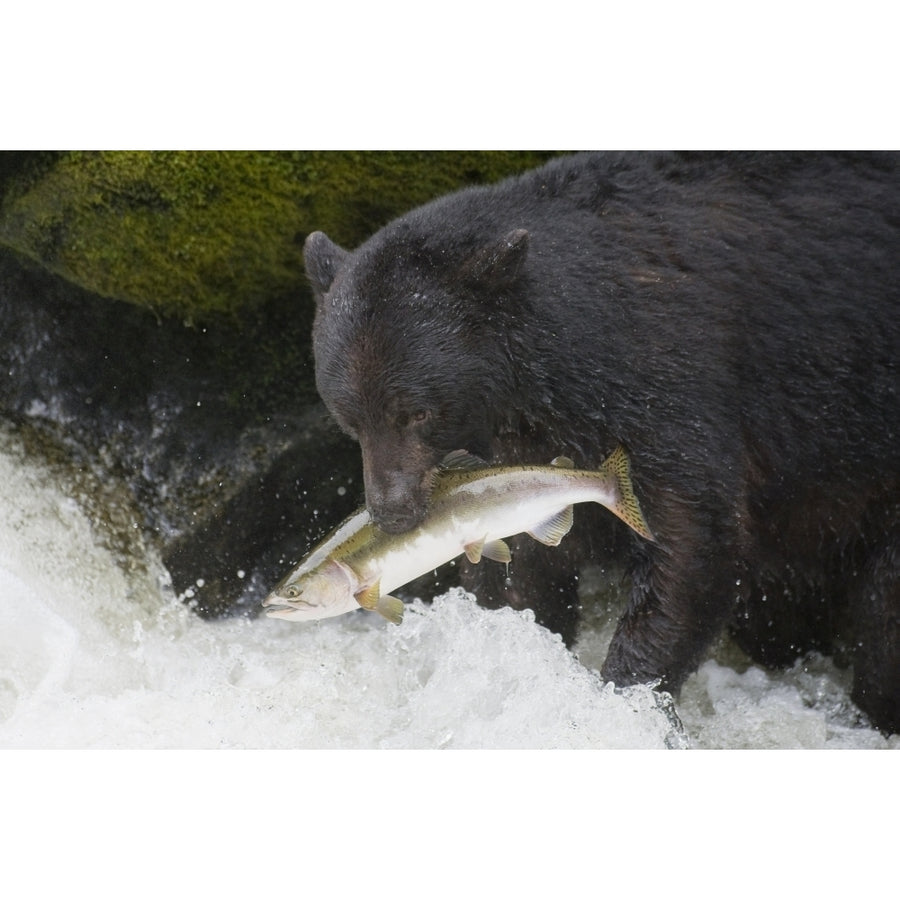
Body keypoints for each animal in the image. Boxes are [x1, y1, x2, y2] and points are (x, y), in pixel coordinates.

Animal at [304, 151, 900, 736]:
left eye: (417, 412)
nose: (393, 512)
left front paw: (621, 694)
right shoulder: (521, 444)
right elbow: (523, 564)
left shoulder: (664, 378)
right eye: (349, 419)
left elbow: (692, 542)